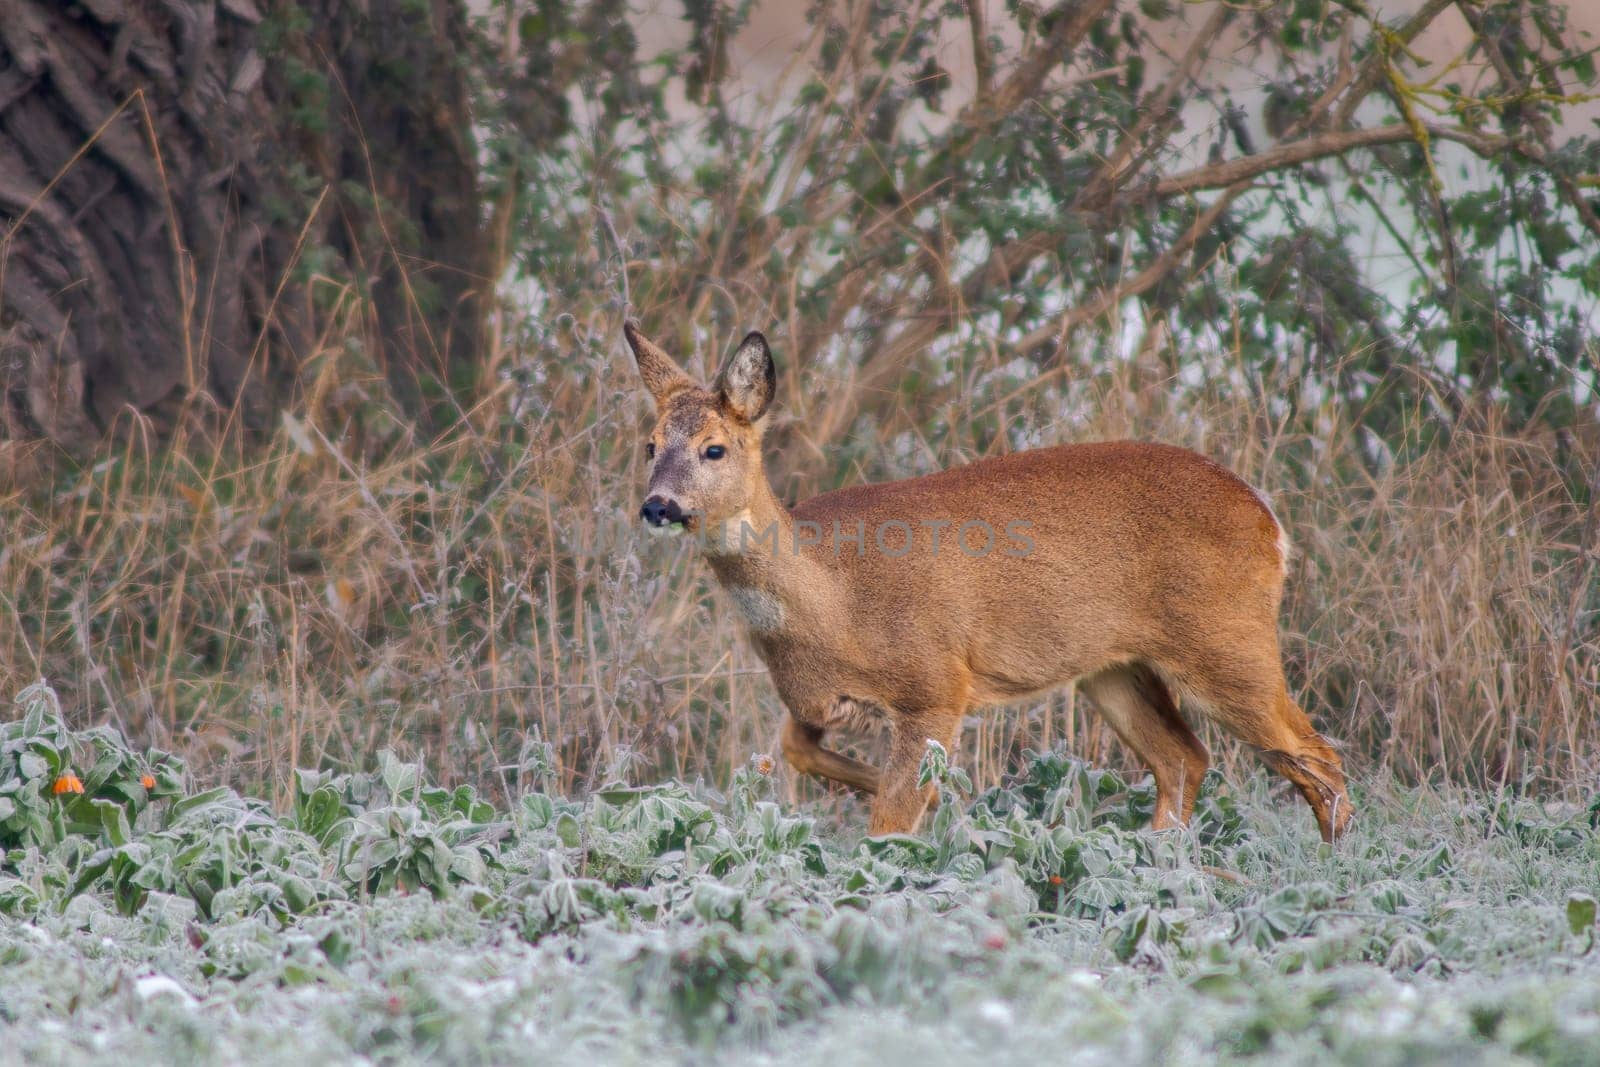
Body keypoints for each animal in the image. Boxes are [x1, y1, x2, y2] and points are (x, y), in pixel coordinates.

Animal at [620, 321, 1350, 838]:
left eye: (715, 447)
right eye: (650, 445)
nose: (658, 505)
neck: (833, 597)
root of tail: (1270, 520)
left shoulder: (936, 682)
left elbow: (889, 822)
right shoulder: (814, 703)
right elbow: (800, 755)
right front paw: (948, 800)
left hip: (1226, 640)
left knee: (1319, 757)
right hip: (1111, 667)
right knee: (1185, 759)